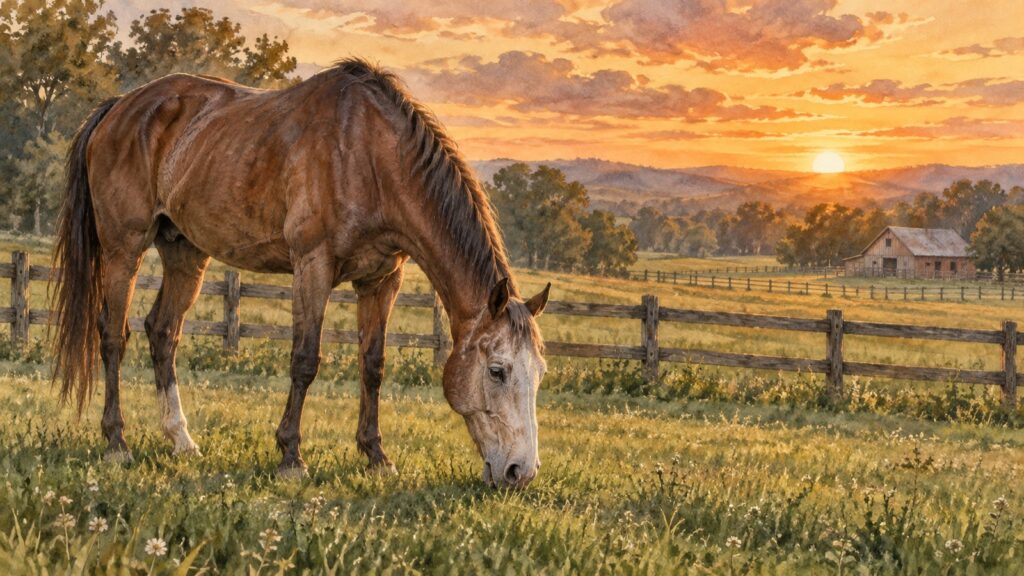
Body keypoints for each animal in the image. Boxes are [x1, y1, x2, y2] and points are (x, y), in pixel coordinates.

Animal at [51, 58, 551, 488]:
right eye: (498, 371)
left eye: (540, 372)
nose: (520, 472)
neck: (371, 154)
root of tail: (120, 105)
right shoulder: (313, 266)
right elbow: (305, 359)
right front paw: (291, 456)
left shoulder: (381, 281)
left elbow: (373, 365)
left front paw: (376, 456)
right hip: (124, 248)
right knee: (113, 335)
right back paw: (116, 442)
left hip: (184, 253)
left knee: (163, 332)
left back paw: (181, 440)